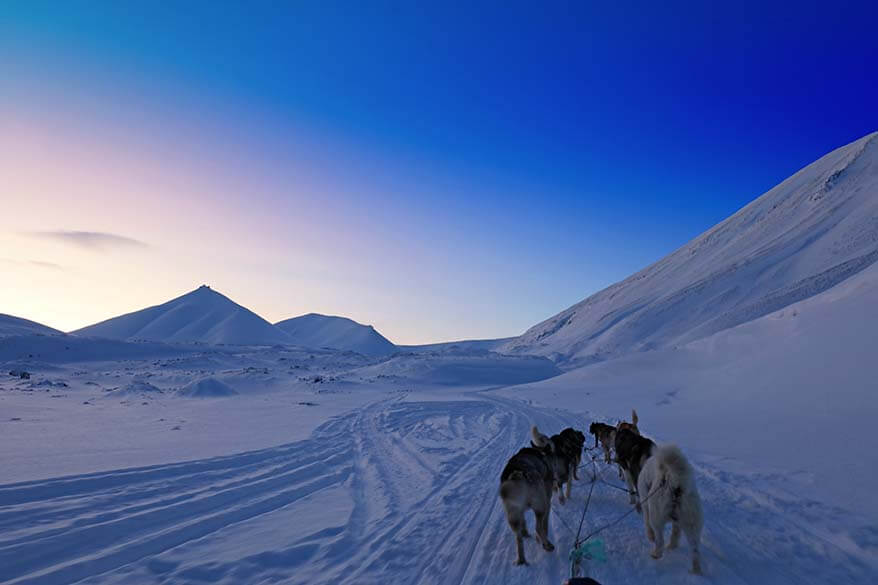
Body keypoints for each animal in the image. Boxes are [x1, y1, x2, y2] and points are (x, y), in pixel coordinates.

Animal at [636, 444, 704, 572]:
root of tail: (677, 486)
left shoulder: (645, 503)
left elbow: (647, 524)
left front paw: (650, 537)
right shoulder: (677, 523)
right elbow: (675, 534)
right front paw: (673, 546)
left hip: (656, 517)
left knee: (660, 541)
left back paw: (656, 554)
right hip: (692, 525)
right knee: (695, 551)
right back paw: (696, 570)